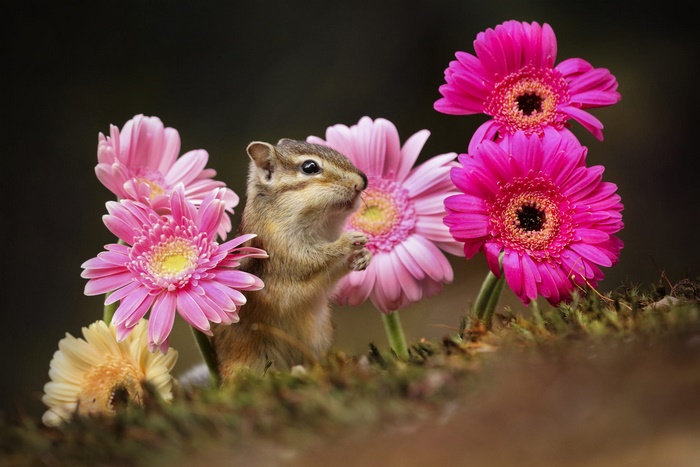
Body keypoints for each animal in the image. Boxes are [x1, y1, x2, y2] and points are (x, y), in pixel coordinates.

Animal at [210, 138, 372, 382]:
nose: (363, 181)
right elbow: (313, 261)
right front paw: (347, 241)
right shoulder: (285, 251)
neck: (321, 225)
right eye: (310, 167)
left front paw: (362, 257)